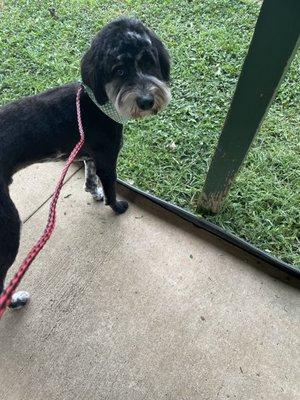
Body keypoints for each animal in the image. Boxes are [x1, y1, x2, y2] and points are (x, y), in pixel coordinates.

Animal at [0, 17, 171, 310]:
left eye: (148, 62)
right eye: (119, 70)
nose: (147, 101)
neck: (97, 102)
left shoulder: (89, 156)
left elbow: (90, 178)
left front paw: (94, 192)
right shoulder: (108, 159)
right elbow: (111, 186)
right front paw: (116, 206)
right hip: (9, 228)